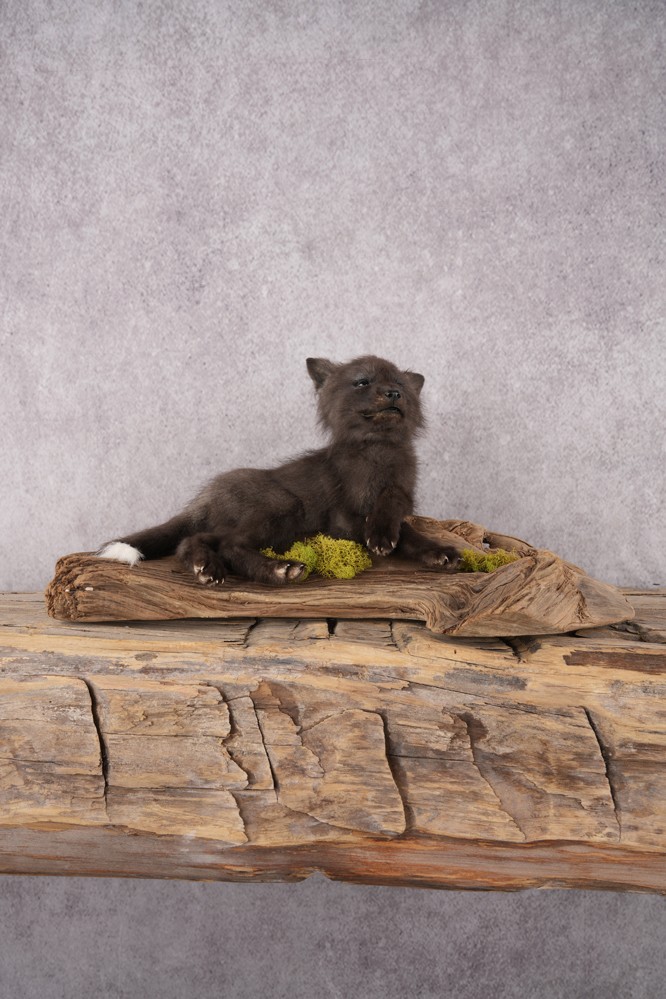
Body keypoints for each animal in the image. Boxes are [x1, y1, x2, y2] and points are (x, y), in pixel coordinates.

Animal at [98, 355, 461, 585]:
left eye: (399, 382)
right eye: (362, 382)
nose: (394, 393)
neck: (378, 453)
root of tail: (208, 493)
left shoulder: (402, 492)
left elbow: (403, 521)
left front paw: (436, 553)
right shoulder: (344, 518)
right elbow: (392, 528)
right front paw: (383, 535)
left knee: (193, 540)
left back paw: (206, 568)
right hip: (283, 510)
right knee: (227, 544)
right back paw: (276, 570)